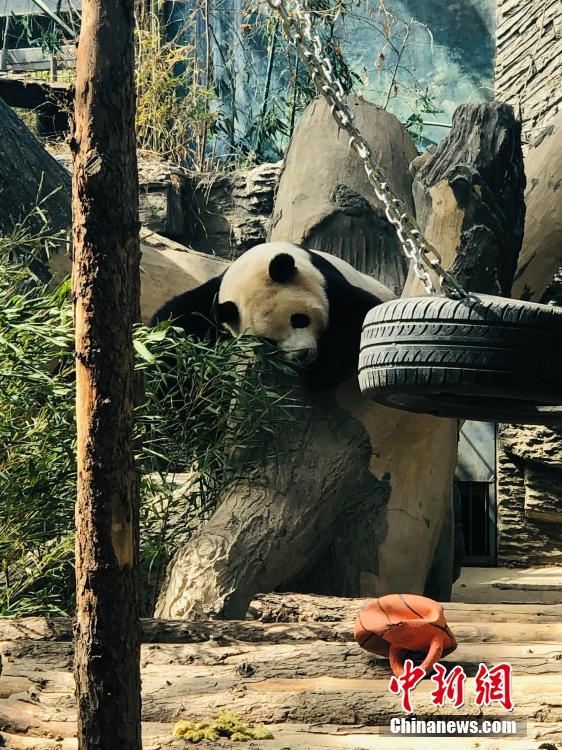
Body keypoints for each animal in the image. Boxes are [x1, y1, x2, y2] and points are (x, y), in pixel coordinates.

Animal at [151, 244, 392, 390]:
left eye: (299, 319)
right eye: (268, 341)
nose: (302, 355)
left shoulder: (324, 283)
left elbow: (360, 313)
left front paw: (320, 371)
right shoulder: (215, 300)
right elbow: (177, 325)